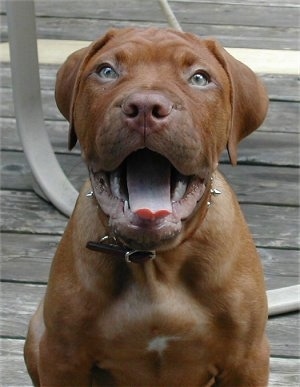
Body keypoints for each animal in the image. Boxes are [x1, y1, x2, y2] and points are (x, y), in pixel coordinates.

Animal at [24, 28, 270, 386]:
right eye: (106, 71)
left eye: (199, 78)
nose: (144, 106)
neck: (155, 265)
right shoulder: (63, 356)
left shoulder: (247, 359)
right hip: (36, 332)